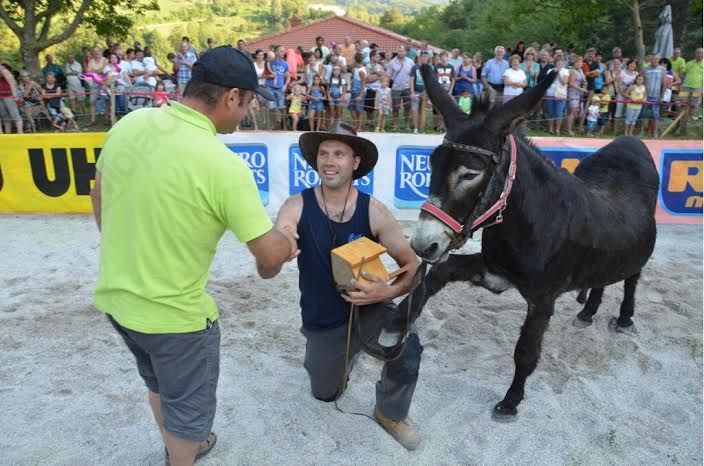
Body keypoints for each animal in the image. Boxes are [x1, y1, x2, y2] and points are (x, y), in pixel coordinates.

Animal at [404, 65, 659, 422]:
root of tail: (632, 140)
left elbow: (525, 350)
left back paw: (624, 318)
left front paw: (511, 401)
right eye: (431, 163)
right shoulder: (495, 270)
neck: (523, 221)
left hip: (636, 252)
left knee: (632, 278)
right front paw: (399, 320)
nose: (422, 245)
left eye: (470, 174)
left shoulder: (542, 298)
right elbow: (438, 274)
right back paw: (588, 310)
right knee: (602, 279)